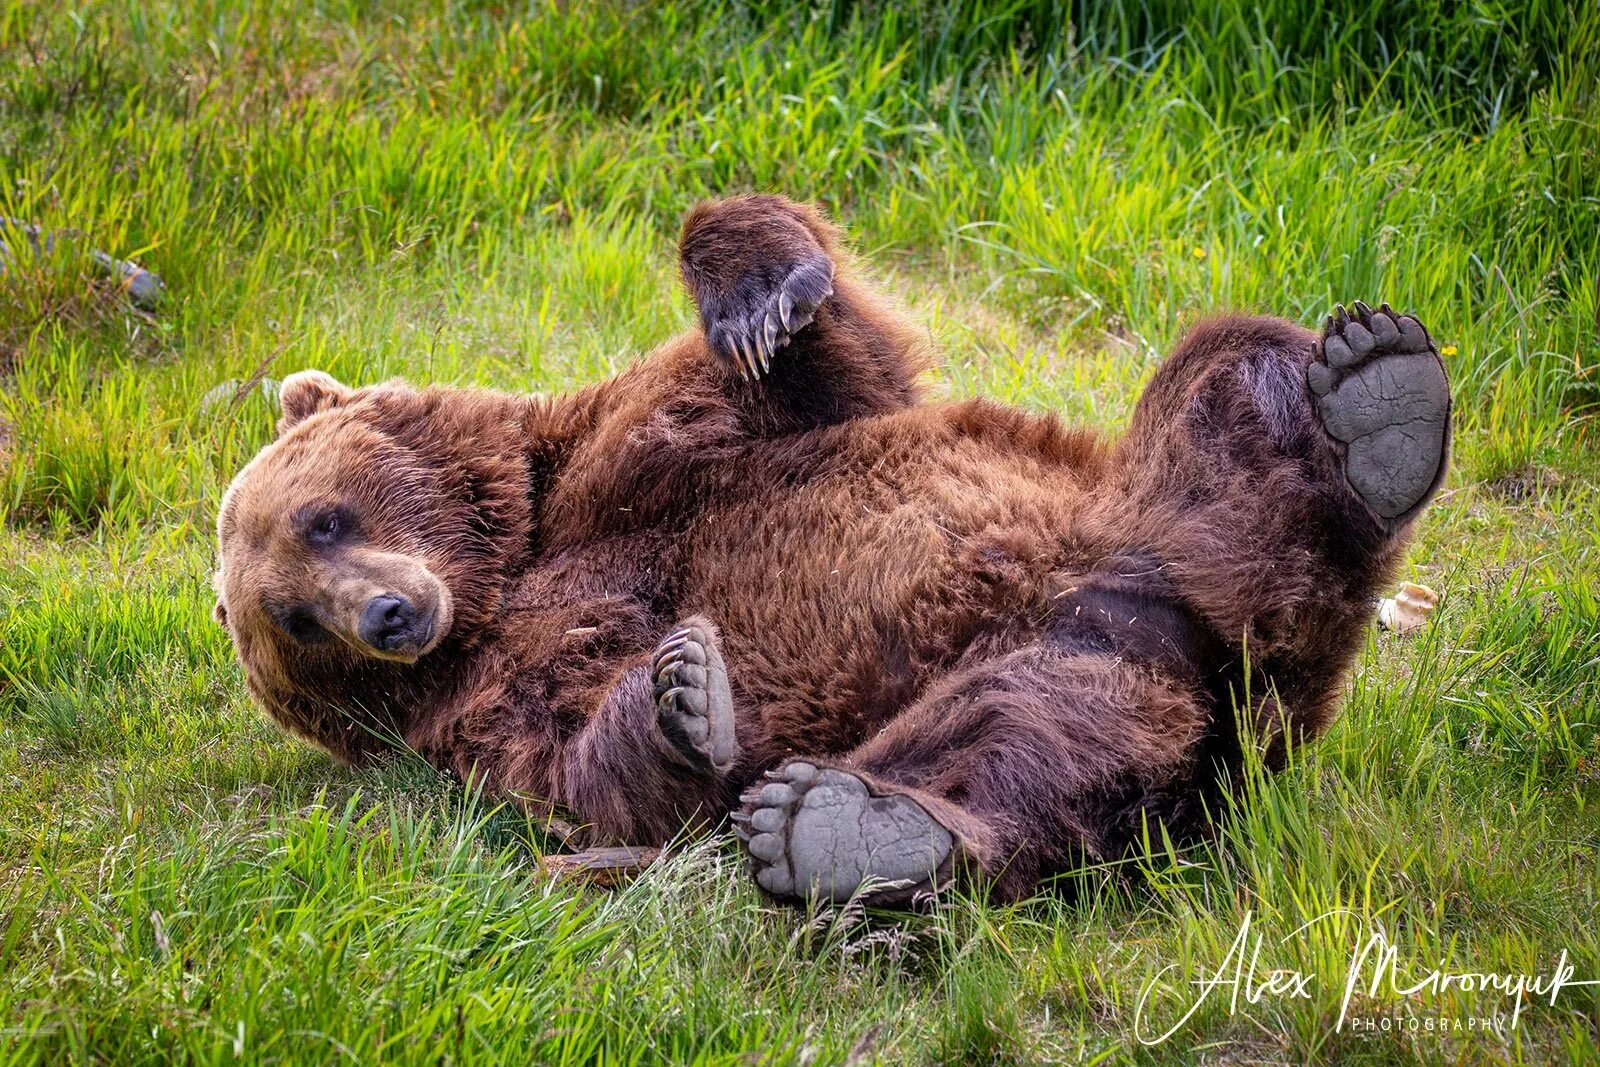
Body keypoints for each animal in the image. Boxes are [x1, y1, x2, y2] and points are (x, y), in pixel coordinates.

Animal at [212, 194, 1452, 908]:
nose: (384, 615)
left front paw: (760, 290)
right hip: (1088, 653)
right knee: (1027, 736)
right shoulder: (475, 711)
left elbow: (824, 363)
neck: (512, 557)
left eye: (324, 516)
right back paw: (850, 829)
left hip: (1144, 534)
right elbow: (584, 771)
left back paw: (1378, 398)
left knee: (1229, 373)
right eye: (294, 618)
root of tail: (1246, 711)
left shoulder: (653, 444)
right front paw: (682, 691)